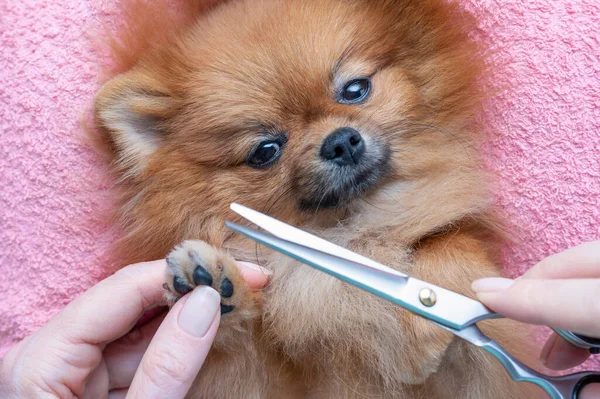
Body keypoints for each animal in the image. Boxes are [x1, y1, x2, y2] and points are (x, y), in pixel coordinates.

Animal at [92, 0, 544, 398]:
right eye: (265, 151)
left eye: (355, 89)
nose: (340, 142)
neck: (349, 234)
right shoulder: (267, 376)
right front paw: (217, 286)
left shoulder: (469, 370)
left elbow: (451, 241)